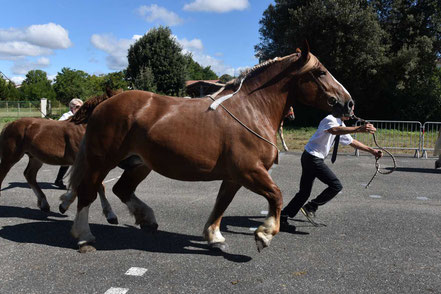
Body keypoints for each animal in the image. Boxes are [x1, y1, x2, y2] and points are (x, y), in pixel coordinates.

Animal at [0, 92, 117, 223]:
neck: (83, 128)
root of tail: (10, 124)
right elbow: (98, 186)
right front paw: (111, 215)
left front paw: (63, 206)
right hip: (10, 157)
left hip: (35, 158)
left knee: (29, 175)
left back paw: (44, 204)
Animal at [68, 43, 350, 253]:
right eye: (321, 72)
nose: (349, 103)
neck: (252, 110)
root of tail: (107, 101)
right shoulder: (250, 171)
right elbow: (276, 196)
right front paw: (265, 234)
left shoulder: (235, 177)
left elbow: (222, 203)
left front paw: (214, 237)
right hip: (100, 161)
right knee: (87, 192)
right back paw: (84, 236)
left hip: (140, 164)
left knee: (121, 189)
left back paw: (146, 219)